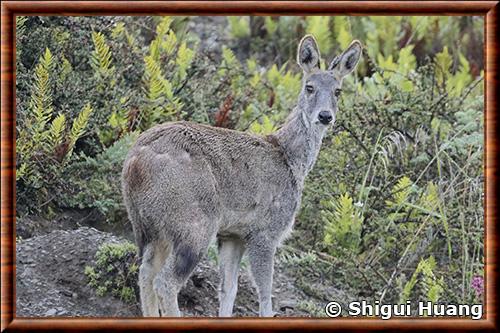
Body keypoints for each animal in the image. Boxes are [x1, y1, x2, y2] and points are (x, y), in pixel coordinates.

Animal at [122, 34, 362, 316]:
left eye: (338, 91)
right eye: (309, 87)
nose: (325, 116)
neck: (290, 159)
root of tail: (134, 163)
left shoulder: (233, 234)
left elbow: (229, 290)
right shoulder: (266, 230)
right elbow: (266, 296)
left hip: (149, 226)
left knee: (146, 272)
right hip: (193, 221)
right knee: (165, 282)